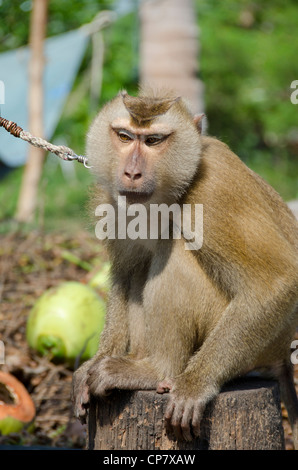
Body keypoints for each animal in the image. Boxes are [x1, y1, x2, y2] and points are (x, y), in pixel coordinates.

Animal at [71, 87, 298, 448]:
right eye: (124, 136)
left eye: (153, 141)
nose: (131, 173)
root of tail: (282, 355)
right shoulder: (113, 201)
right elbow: (123, 273)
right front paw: (94, 362)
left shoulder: (214, 190)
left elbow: (276, 281)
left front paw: (195, 385)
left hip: (255, 347)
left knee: (176, 251)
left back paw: (159, 371)